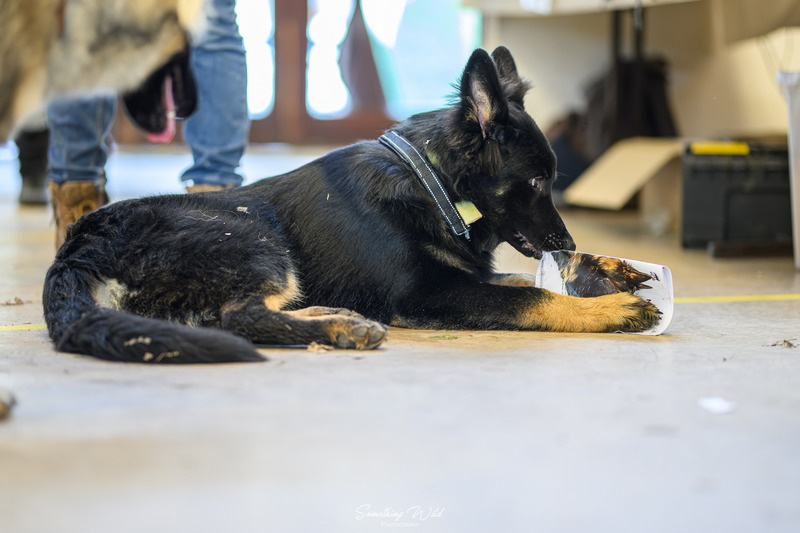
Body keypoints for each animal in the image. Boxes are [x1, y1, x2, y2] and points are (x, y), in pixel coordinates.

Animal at [42, 46, 661, 364]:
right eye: (535, 181)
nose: (569, 243)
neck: (428, 182)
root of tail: (77, 247)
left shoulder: (460, 272)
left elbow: (516, 277)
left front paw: (605, 272)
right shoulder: (428, 292)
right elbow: (531, 295)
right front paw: (612, 309)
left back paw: (336, 319)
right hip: (256, 240)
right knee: (239, 317)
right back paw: (338, 327)